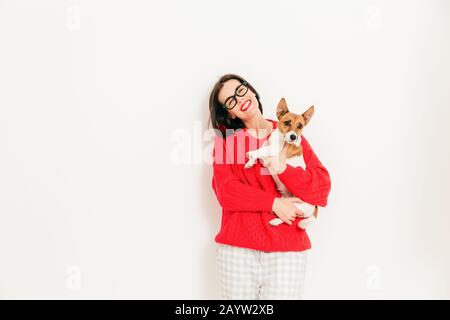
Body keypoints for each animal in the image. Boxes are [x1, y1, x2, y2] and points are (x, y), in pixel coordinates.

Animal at [244, 98, 318, 230]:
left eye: (300, 126)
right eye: (287, 123)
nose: (293, 137)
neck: (280, 138)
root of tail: (314, 208)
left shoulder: (273, 150)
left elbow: (260, 150)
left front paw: (251, 154)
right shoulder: (267, 150)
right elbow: (261, 149)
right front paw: (250, 162)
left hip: (297, 206)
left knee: (291, 217)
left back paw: (275, 221)